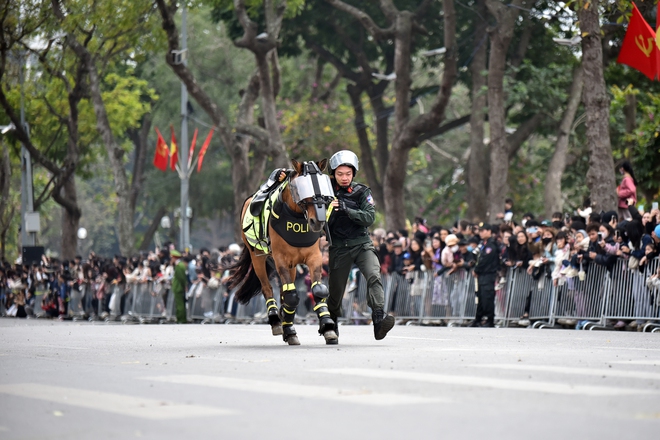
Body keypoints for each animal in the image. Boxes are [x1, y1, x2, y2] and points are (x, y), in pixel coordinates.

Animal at [228, 160, 340, 346]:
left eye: (323, 187)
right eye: (301, 188)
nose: (317, 221)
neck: (296, 218)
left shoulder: (314, 257)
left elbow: (318, 289)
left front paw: (327, 327)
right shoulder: (280, 259)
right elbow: (291, 296)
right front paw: (289, 329)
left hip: (292, 266)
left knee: (284, 291)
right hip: (258, 258)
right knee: (268, 289)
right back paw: (276, 321)